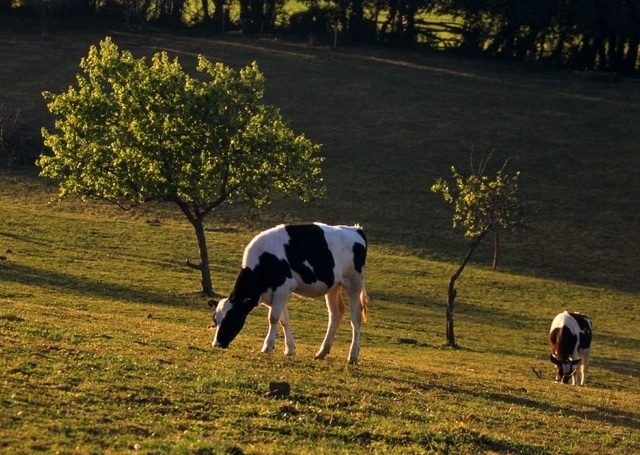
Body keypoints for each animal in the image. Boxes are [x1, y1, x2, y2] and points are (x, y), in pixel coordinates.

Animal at [211, 223, 370, 366]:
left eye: (230, 319)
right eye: (215, 321)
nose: (216, 344)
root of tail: (356, 229)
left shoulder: (284, 286)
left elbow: (273, 318)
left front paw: (267, 347)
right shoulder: (275, 293)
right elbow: (283, 319)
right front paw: (290, 349)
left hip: (354, 282)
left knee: (355, 317)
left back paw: (353, 356)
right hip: (334, 286)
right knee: (335, 314)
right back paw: (322, 352)